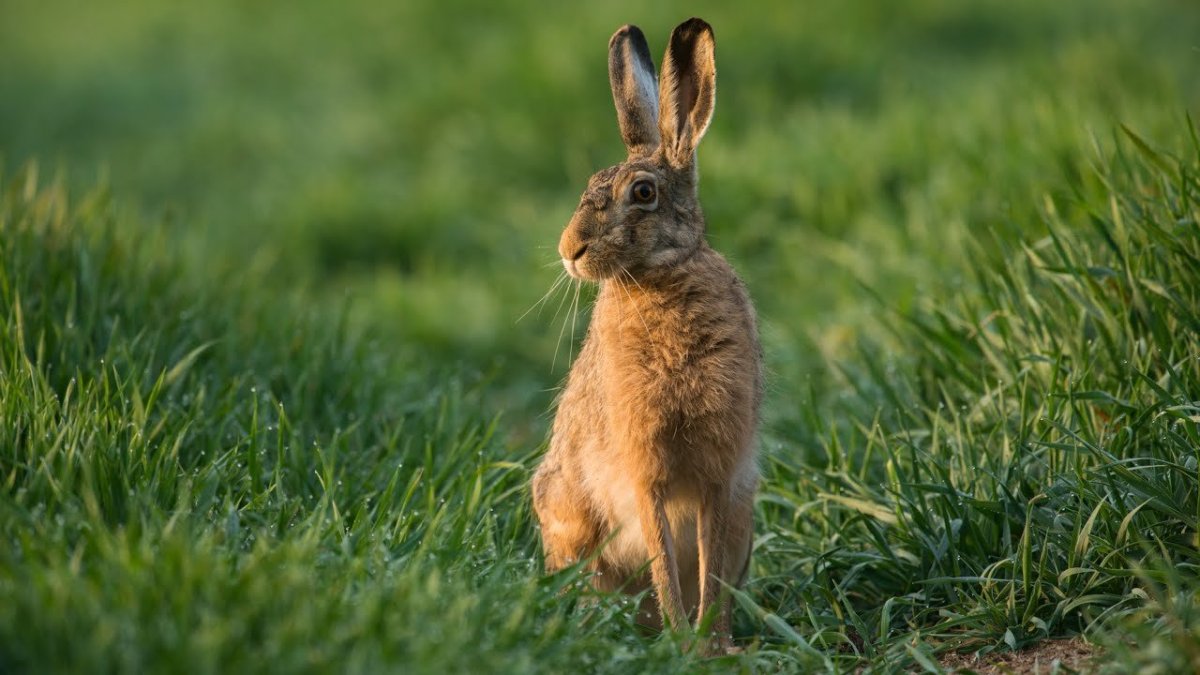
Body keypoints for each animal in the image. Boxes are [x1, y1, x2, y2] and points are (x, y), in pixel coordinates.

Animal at [531, 18, 761, 653]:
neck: (660, 280)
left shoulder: (718, 474)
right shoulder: (643, 471)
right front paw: (687, 641)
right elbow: (662, 558)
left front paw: (711, 644)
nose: (569, 250)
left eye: (642, 193)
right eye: (589, 184)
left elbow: (707, 567)